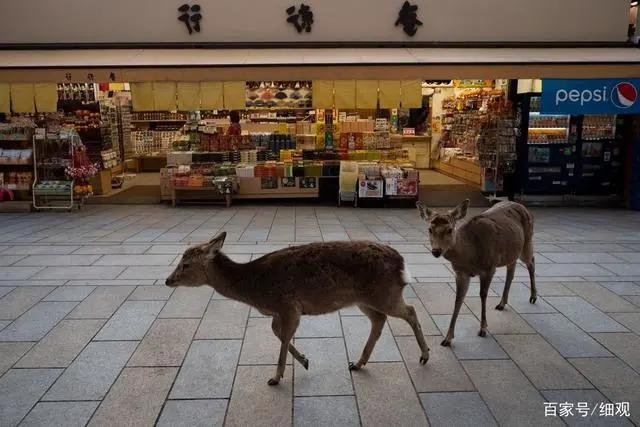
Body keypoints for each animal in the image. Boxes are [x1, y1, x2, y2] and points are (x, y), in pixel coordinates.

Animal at [165, 231, 430, 386]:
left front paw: (276, 377)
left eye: (185, 264)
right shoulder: (279, 312)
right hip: (365, 299)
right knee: (379, 320)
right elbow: (277, 332)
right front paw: (304, 360)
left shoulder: (289, 305)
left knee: (410, 311)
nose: (168, 280)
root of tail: (401, 263)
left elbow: (283, 337)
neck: (255, 288)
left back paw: (425, 355)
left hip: (385, 294)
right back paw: (357, 363)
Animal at [416, 199, 537, 347]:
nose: (436, 251)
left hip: (527, 241)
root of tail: (521, 206)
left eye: (450, 229)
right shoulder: (461, 273)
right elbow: (458, 299)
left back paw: (533, 297)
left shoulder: (489, 268)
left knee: (531, 261)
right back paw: (502, 303)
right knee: (511, 270)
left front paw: (483, 329)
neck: (470, 255)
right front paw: (447, 338)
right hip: (512, 251)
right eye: (429, 229)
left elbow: (483, 295)